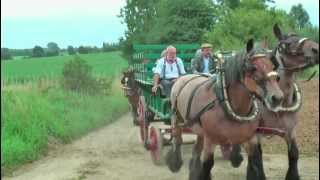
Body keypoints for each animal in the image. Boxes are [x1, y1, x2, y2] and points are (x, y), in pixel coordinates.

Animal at [166, 39, 284, 180]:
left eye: (272, 66)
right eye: (253, 68)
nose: (277, 97)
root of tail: (183, 77)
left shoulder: (250, 139)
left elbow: (256, 165)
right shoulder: (211, 140)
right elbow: (207, 166)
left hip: (199, 130)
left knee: (196, 152)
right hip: (177, 119)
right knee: (177, 139)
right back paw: (175, 162)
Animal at [230, 24, 320, 180]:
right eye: (287, 43)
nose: (316, 49)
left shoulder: (290, 130)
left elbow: (294, 154)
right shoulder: (254, 133)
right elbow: (256, 159)